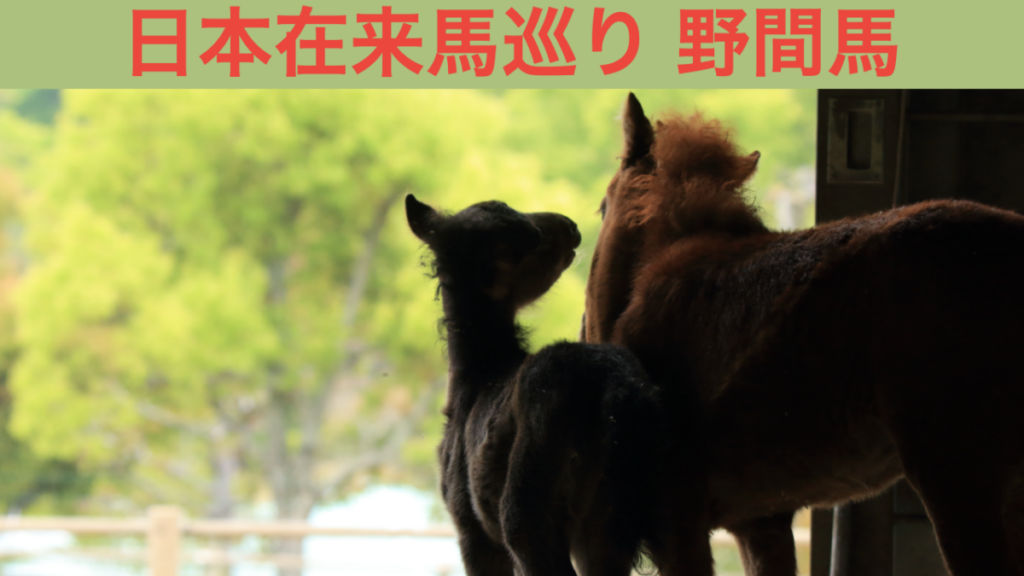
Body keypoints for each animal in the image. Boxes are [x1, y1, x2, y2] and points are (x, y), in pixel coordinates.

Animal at [406, 194, 686, 576]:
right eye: (528, 239)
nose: (571, 226)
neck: (477, 376)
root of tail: (615, 384)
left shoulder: (470, 528)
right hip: (610, 519)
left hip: (527, 511)